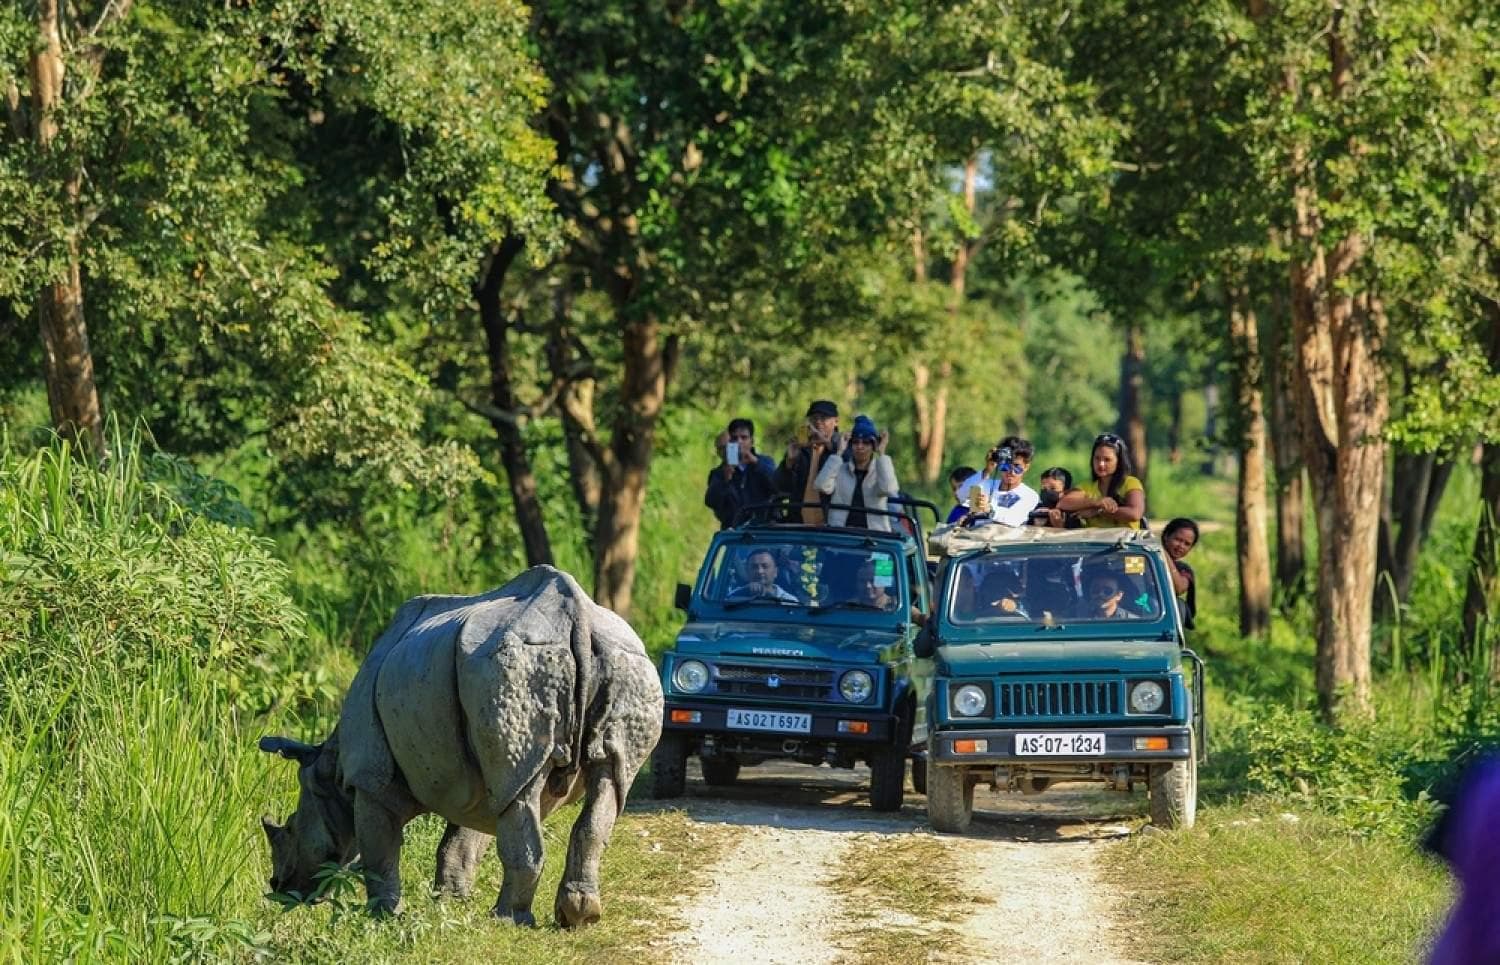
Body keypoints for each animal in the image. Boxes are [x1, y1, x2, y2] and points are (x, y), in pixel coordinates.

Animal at [259, 565, 663, 926]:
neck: (331, 768)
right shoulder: (479, 779)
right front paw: (451, 906)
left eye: (291, 827)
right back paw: (579, 916)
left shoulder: (370, 779)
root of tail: (578, 617)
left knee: (523, 796)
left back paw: (508, 920)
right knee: (604, 781)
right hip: (624, 665)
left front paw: (383, 918)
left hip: (513, 669)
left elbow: (380, 854)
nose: (278, 886)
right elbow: (464, 841)